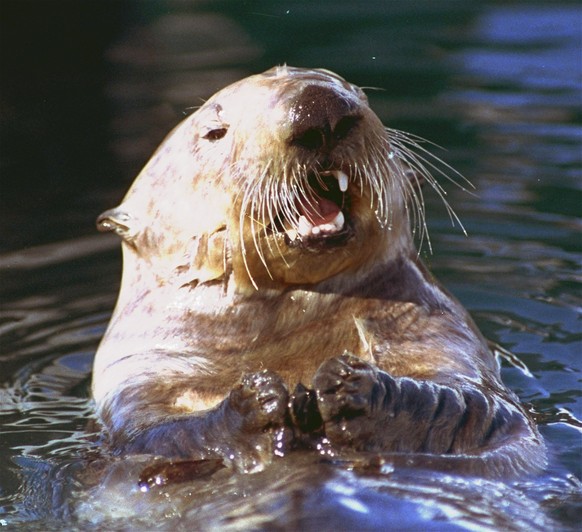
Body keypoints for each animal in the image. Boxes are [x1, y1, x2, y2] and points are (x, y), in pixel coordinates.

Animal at [94, 65, 548, 478]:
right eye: (214, 132)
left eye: (358, 92)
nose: (320, 108)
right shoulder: (138, 372)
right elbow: (159, 435)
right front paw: (257, 405)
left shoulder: (441, 330)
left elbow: (470, 406)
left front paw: (352, 388)